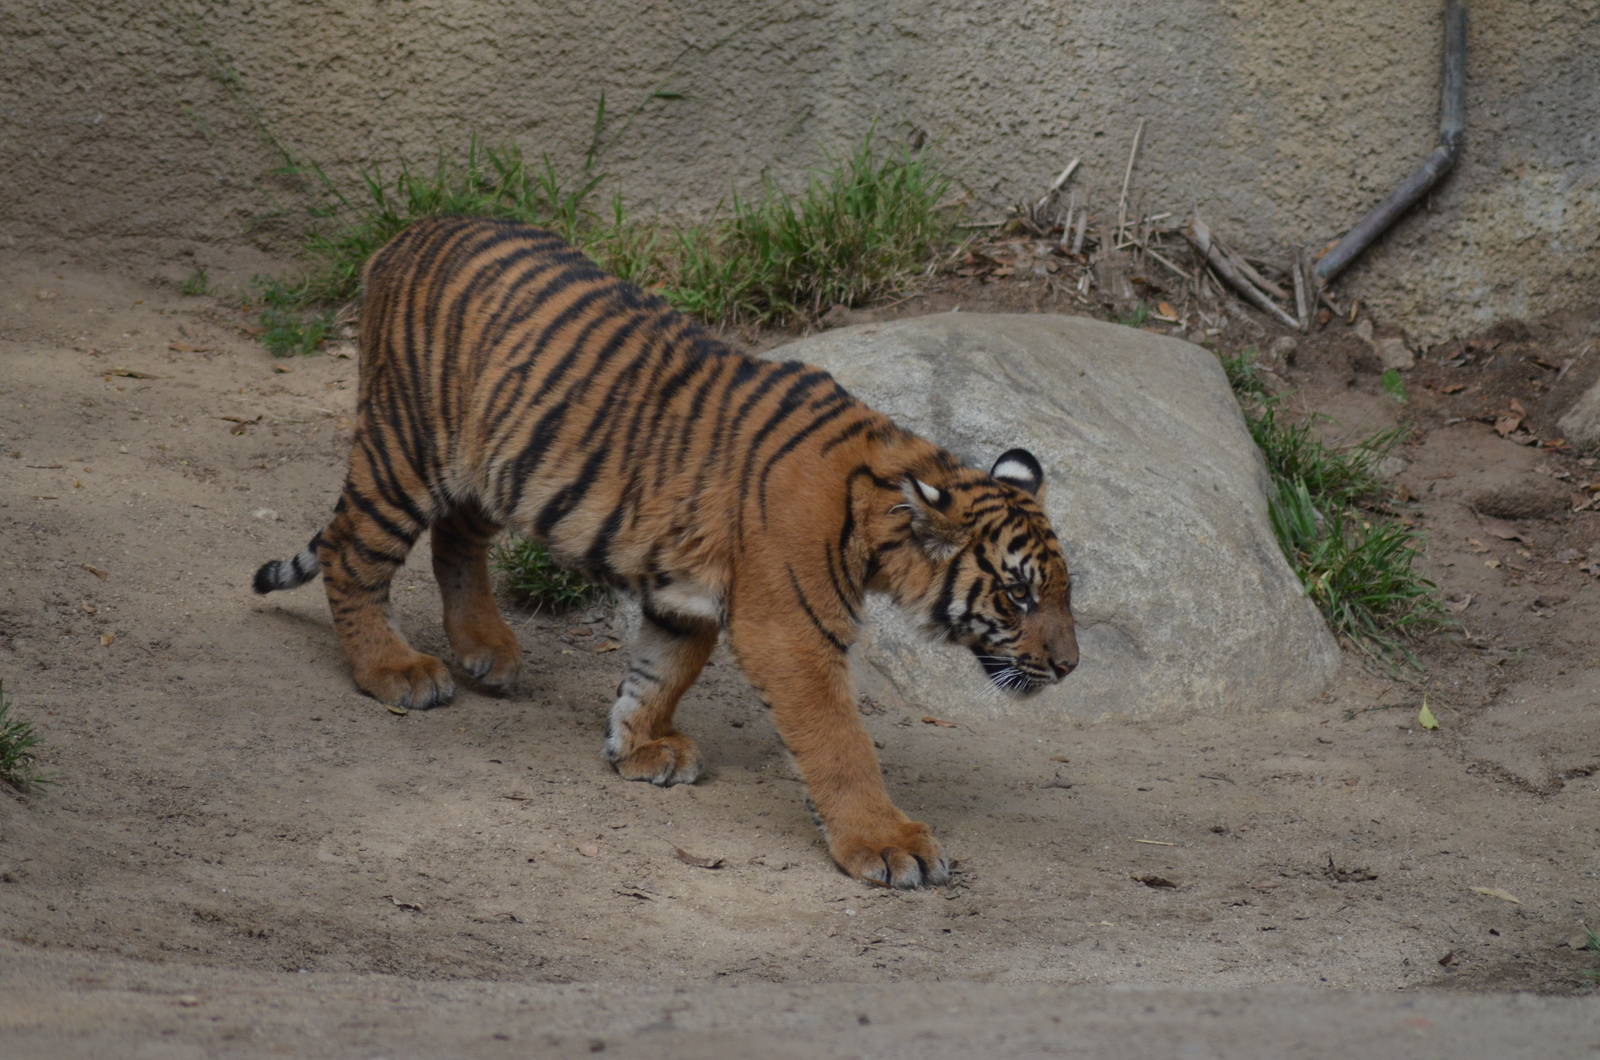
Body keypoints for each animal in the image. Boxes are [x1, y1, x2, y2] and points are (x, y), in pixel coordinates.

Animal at [252, 215, 1078, 888]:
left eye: (1064, 593)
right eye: (1019, 594)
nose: (1070, 667)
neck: (880, 506)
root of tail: (408, 233)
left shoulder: (688, 597)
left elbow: (661, 671)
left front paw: (637, 747)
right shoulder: (791, 631)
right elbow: (839, 742)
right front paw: (887, 844)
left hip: (488, 467)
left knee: (455, 540)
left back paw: (486, 649)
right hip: (405, 448)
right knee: (352, 555)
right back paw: (394, 671)